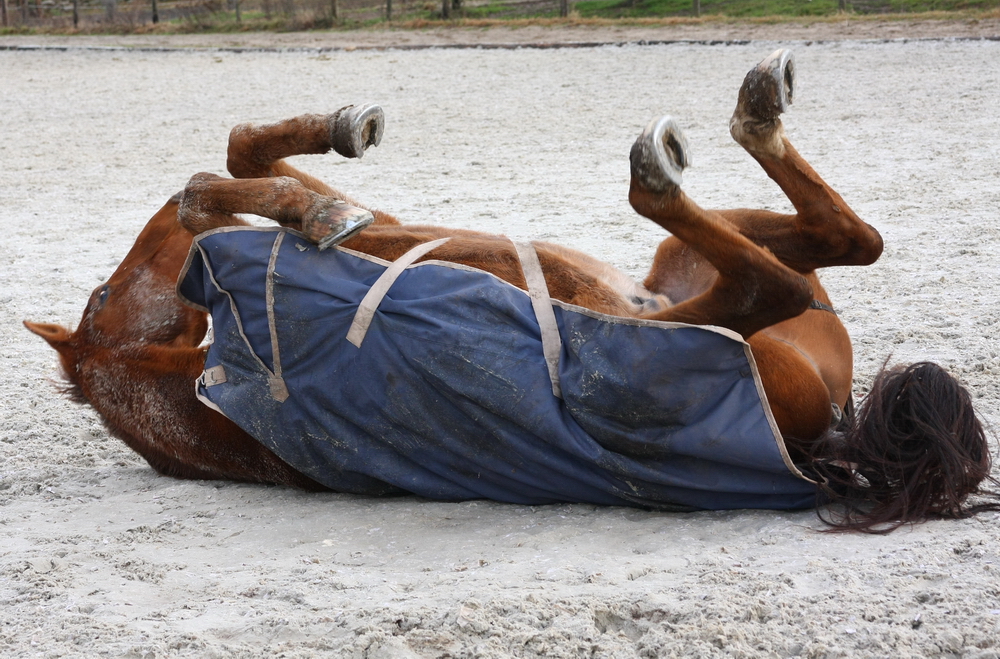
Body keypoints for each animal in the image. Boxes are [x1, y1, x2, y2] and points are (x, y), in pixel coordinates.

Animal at [27, 50, 996, 532]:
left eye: (101, 290)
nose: (152, 226)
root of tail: (824, 432)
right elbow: (217, 182)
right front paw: (302, 196)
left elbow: (232, 154)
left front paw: (337, 138)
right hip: (715, 297)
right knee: (784, 268)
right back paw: (699, 144)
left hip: (680, 267)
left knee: (843, 240)